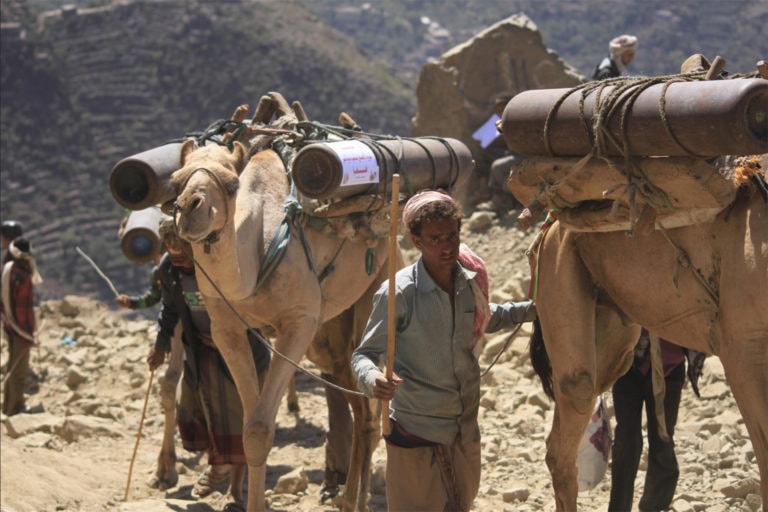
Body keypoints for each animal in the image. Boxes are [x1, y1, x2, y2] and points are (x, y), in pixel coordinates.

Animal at [168, 98, 402, 510]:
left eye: (231, 184)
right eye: (176, 181)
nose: (190, 208)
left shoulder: (298, 323)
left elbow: (262, 428)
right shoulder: (227, 328)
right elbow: (249, 428)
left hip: (379, 280)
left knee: (370, 407)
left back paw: (353, 501)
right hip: (331, 330)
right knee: (356, 399)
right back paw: (348, 496)